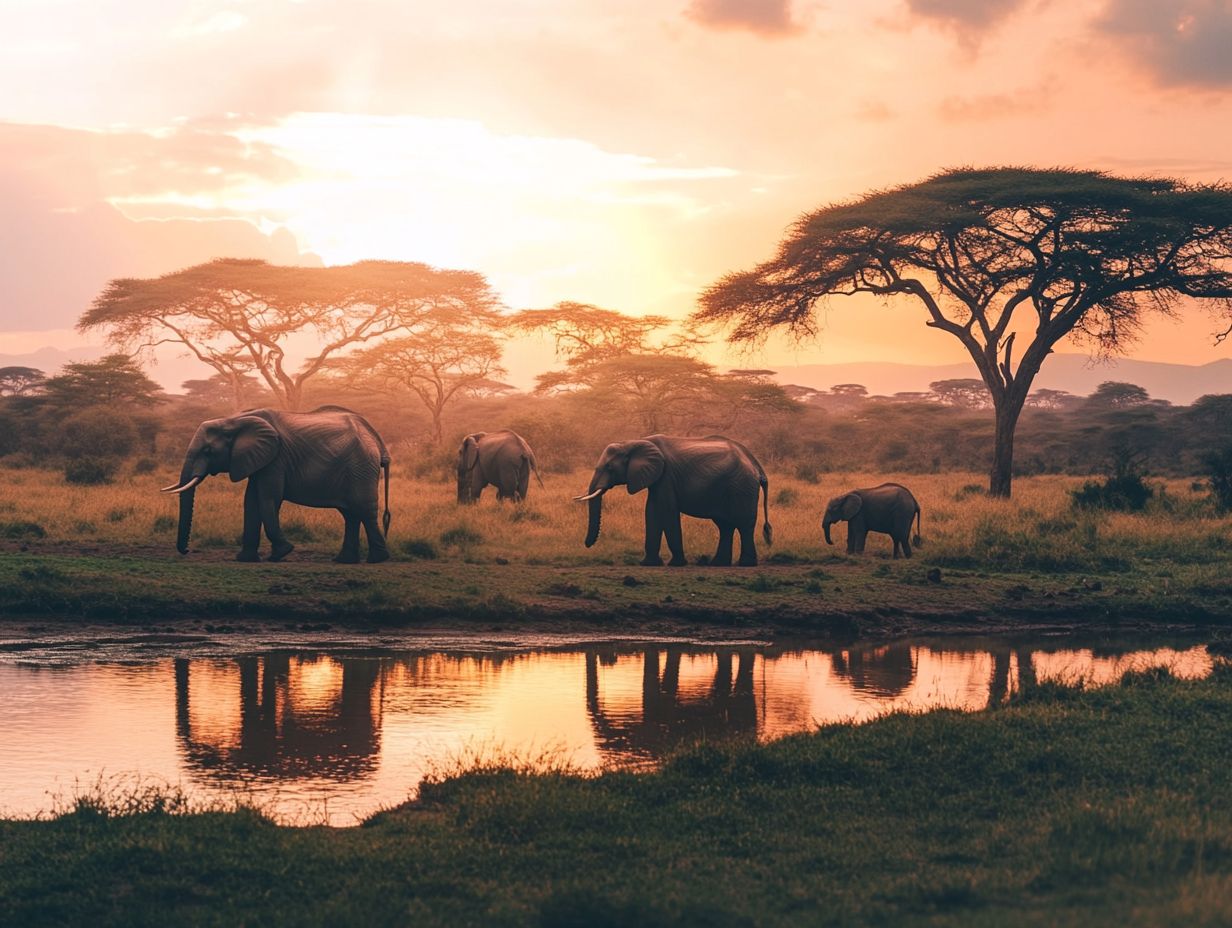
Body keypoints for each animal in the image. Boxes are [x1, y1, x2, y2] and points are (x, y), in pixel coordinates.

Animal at [160, 406, 389, 564]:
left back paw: (377, 560)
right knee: (350, 513)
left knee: (363, 509)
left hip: (361, 467)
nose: (187, 551)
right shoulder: (258, 459)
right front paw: (245, 559)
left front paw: (281, 553)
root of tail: (377, 440)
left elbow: (267, 498)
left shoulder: (276, 459)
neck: (234, 419)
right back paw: (344, 561)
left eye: (208, 451)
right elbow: (251, 501)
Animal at [576, 433, 768, 564]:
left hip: (742, 486)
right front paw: (648, 564)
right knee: (725, 526)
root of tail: (756, 465)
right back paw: (718, 564)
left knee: (744, 524)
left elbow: (666, 511)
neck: (635, 441)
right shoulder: (658, 477)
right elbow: (652, 511)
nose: (587, 545)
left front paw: (676, 564)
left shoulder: (666, 475)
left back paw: (746, 564)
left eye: (609, 467)